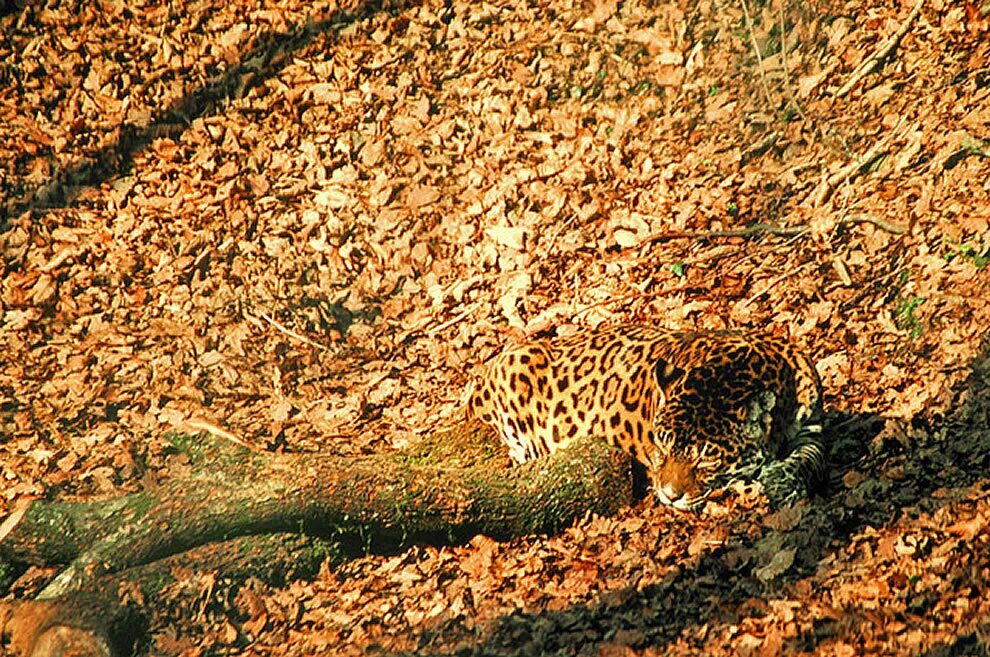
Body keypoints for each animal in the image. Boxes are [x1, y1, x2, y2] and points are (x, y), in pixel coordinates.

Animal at [468, 322, 824, 508]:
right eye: (662, 445)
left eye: (706, 457)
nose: (669, 495)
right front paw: (750, 486)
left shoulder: (813, 425)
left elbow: (811, 457)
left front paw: (784, 479)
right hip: (514, 368)